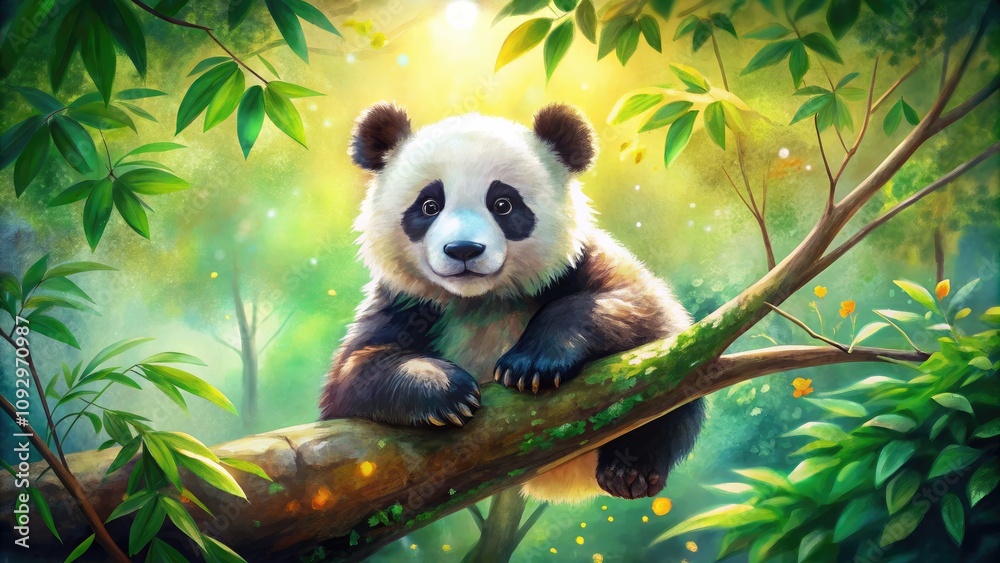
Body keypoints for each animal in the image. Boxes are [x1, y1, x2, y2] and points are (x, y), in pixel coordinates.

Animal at [320, 102, 704, 503]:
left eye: (502, 204)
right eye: (429, 205)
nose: (464, 250)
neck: (484, 301)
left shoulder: (580, 264)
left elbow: (646, 311)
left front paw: (529, 366)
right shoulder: (405, 303)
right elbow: (354, 373)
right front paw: (446, 391)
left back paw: (628, 470)